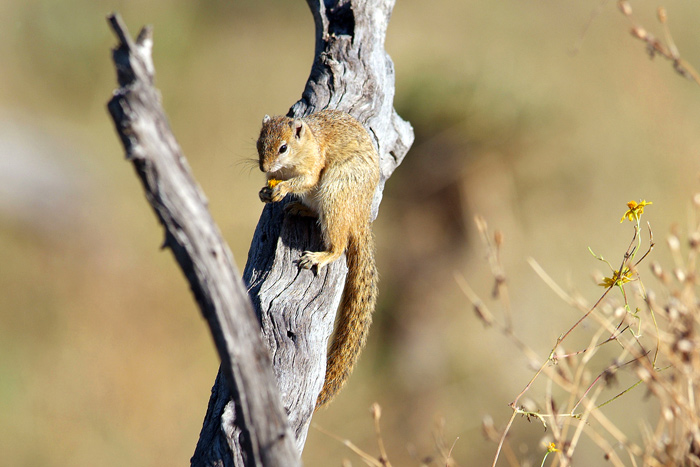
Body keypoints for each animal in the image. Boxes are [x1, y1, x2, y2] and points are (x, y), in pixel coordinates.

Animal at [258, 109, 380, 410]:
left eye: (283, 148)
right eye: (259, 143)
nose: (264, 168)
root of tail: (359, 214)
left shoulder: (314, 165)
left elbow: (306, 180)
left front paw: (283, 189)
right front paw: (266, 192)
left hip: (334, 194)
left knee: (339, 245)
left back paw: (319, 256)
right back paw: (299, 208)